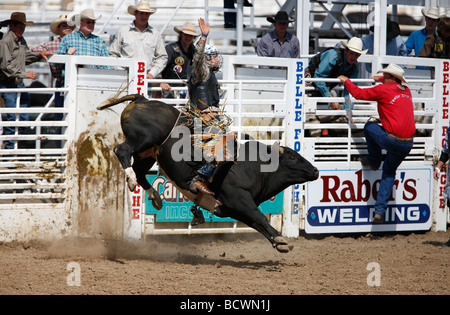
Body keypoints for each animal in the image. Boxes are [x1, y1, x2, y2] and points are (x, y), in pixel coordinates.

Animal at [96, 94, 318, 254]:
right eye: (292, 157)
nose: (315, 171)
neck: (253, 166)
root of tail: (142, 99)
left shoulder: (232, 209)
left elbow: (257, 224)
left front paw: (278, 243)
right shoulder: (240, 199)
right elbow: (260, 217)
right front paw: (281, 239)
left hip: (149, 153)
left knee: (141, 172)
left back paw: (154, 196)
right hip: (143, 140)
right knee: (121, 151)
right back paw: (132, 180)